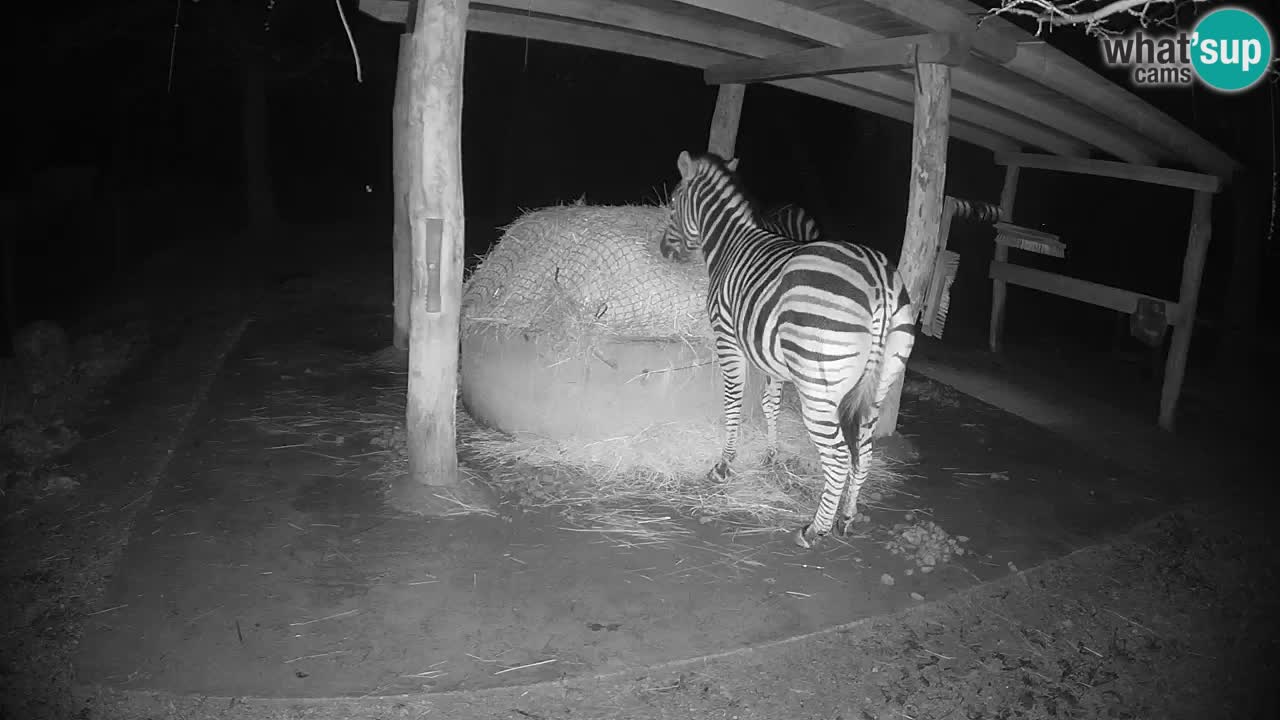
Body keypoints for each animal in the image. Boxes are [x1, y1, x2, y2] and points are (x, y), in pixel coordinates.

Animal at [662, 150, 916, 548]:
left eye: (672, 203)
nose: (663, 251)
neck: (728, 244)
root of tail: (881, 281)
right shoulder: (772, 356)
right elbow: (771, 404)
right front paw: (771, 455)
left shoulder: (728, 338)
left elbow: (733, 401)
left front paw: (724, 465)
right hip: (880, 383)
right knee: (865, 452)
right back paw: (846, 518)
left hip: (818, 387)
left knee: (840, 458)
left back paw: (814, 530)